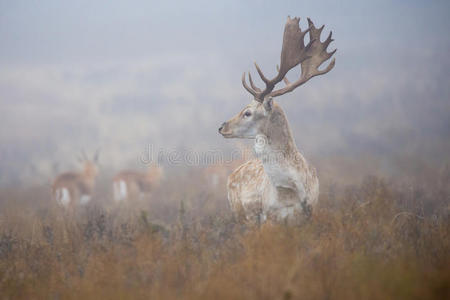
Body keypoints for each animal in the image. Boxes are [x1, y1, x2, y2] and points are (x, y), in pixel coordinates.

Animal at [220, 16, 336, 223]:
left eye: (247, 112)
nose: (222, 127)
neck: (291, 192)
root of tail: (232, 174)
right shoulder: (269, 218)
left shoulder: (310, 213)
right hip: (240, 215)